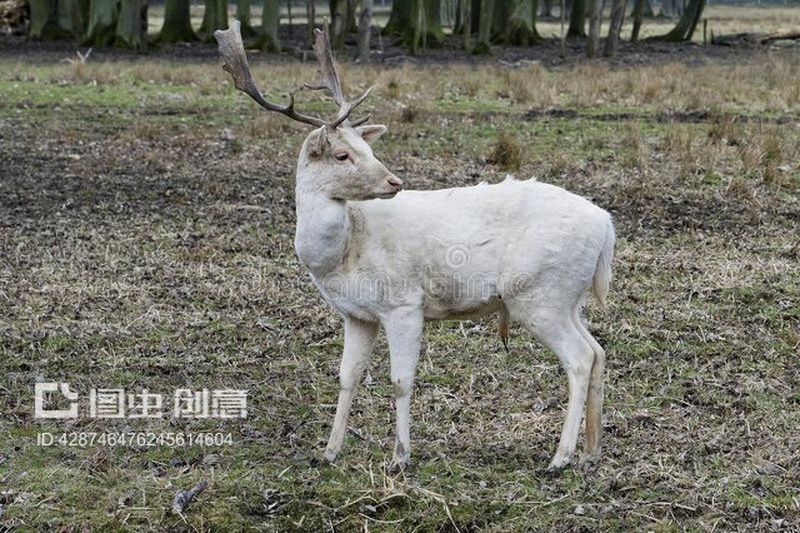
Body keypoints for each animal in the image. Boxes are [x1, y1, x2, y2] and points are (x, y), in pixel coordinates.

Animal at [214, 21, 616, 475]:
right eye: (343, 154)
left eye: (369, 148)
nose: (394, 181)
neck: (341, 256)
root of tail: (606, 226)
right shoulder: (357, 315)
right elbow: (347, 377)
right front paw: (330, 451)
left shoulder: (404, 304)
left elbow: (400, 381)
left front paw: (400, 456)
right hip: (569, 297)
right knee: (598, 351)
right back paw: (591, 452)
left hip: (538, 294)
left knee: (579, 358)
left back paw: (560, 457)